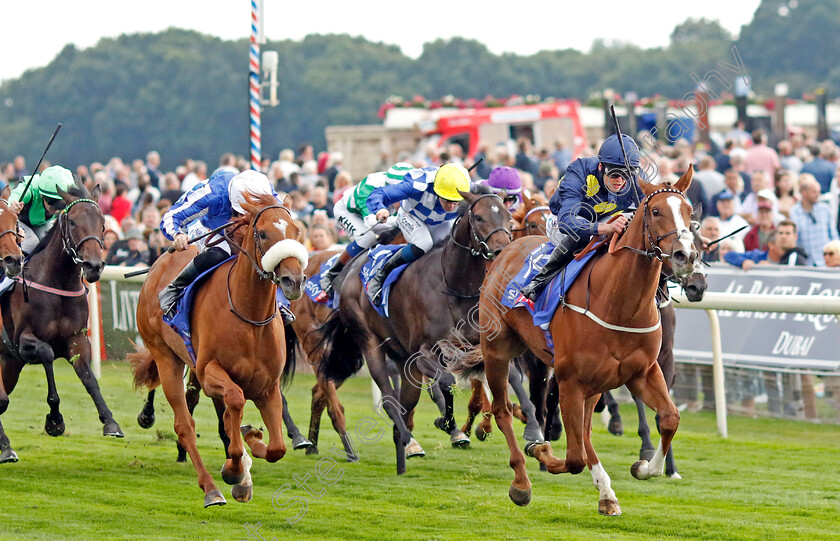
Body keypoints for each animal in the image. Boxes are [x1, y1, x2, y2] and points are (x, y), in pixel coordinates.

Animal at [0, 184, 124, 462]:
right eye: (74, 222)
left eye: (102, 223)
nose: (94, 266)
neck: (57, 284)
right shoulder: (24, 341)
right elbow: (47, 353)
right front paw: (55, 420)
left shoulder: (77, 339)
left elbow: (89, 378)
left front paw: (110, 422)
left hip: (8, 366)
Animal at [134, 193, 308, 506]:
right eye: (263, 233)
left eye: (296, 232)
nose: (294, 280)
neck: (249, 315)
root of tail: (157, 265)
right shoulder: (209, 372)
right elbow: (235, 401)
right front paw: (234, 470)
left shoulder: (268, 387)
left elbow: (276, 447)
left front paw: (252, 440)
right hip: (166, 357)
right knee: (185, 425)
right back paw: (211, 489)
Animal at [318, 189, 512, 472]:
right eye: (478, 217)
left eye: (508, 216)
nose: (501, 250)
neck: (453, 285)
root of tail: (351, 271)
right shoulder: (423, 354)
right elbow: (447, 382)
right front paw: (446, 423)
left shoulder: (474, 348)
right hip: (370, 343)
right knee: (390, 399)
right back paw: (410, 441)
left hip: (401, 357)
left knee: (406, 402)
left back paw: (404, 449)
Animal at [472, 169, 696, 516]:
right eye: (656, 211)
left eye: (690, 213)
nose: (686, 255)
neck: (620, 303)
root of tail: (508, 248)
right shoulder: (570, 381)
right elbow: (574, 457)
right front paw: (542, 452)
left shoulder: (642, 372)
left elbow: (670, 418)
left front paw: (645, 467)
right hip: (498, 349)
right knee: (503, 410)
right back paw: (521, 481)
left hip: (594, 382)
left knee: (586, 430)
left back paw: (606, 494)